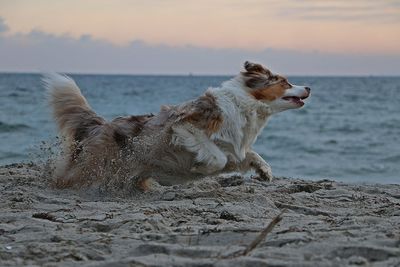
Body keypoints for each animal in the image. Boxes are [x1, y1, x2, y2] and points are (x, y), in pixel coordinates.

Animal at [45, 61, 310, 191]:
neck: (245, 104)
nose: (308, 87)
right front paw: (200, 168)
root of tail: (100, 125)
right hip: (93, 166)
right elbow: (216, 157)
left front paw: (265, 171)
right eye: (286, 82)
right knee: (67, 178)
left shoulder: (234, 148)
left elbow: (248, 155)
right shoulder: (184, 127)